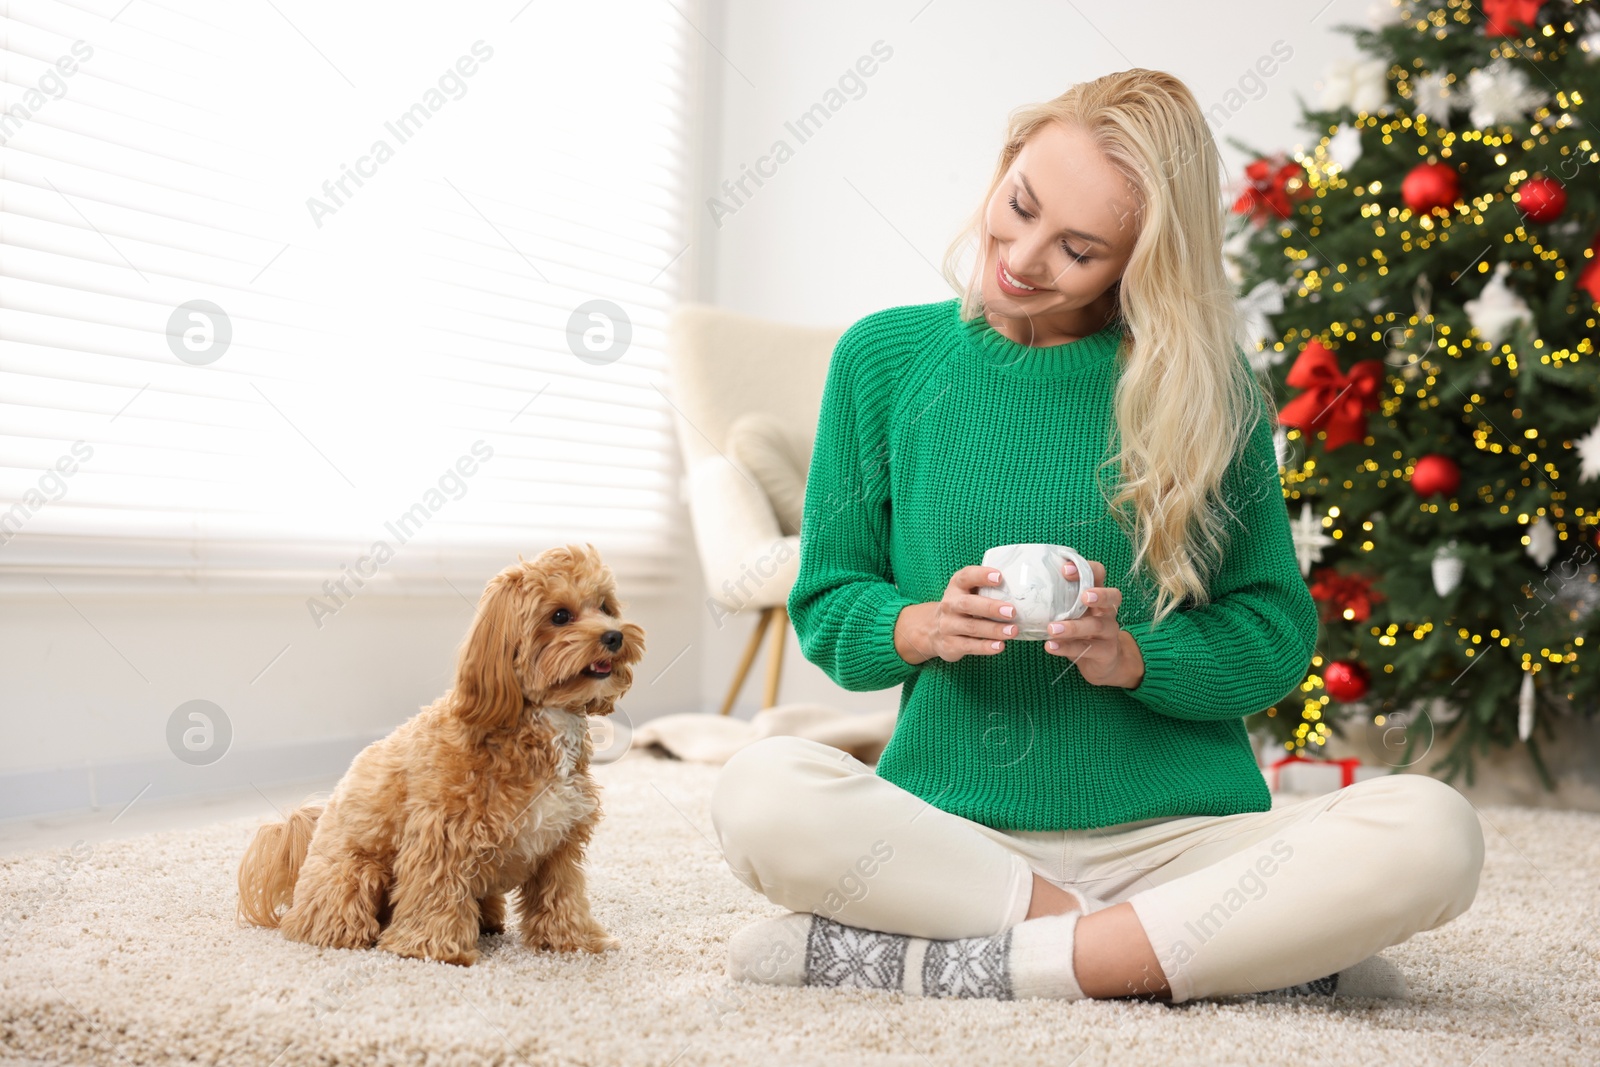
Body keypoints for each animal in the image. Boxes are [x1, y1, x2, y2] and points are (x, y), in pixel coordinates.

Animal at [235, 543, 643, 966]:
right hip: (354, 874)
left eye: (606, 606)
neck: (536, 720)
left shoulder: (559, 843)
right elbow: (437, 892)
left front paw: (575, 941)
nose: (615, 636)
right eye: (560, 616)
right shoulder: (441, 834)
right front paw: (433, 949)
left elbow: (562, 895)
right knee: (328, 919)